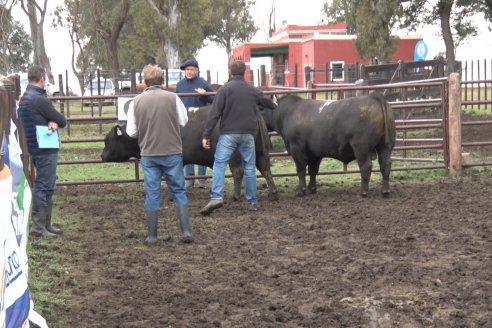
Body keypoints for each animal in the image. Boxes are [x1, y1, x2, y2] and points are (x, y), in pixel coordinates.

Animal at [100, 106, 278, 201]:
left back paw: (235, 196)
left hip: (234, 153)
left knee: (238, 171)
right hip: (260, 150)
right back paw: (273, 193)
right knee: (266, 169)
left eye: (107, 141)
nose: (102, 156)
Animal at [262, 91, 396, 196]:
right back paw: (385, 191)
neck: (288, 113)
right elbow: (313, 170)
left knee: (366, 166)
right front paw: (312, 188)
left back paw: (363, 192)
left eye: (262, 108)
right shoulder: (315, 153)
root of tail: (372, 96)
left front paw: (301, 190)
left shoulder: (296, 150)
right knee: (385, 164)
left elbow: (301, 170)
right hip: (385, 146)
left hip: (361, 147)